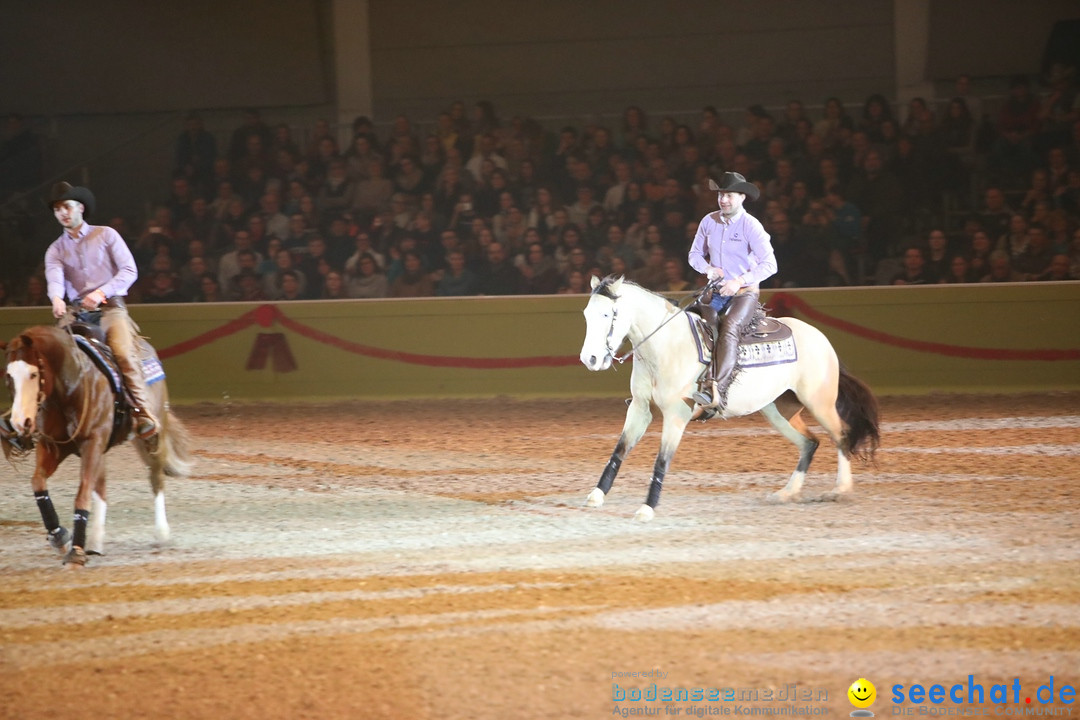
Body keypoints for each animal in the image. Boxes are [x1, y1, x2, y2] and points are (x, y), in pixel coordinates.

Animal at [2, 323, 192, 565]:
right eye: (9, 375)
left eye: (33, 374)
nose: (20, 422)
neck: (72, 387)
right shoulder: (53, 446)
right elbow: (38, 482)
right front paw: (59, 536)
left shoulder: (92, 442)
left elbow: (82, 493)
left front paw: (76, 551)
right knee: (101, 487)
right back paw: (94, 541)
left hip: (152, 436)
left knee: (155, 477)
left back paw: (162, 534)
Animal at [583, 274, 876, 518]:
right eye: (586, 314)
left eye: (607, 314)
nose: (590, 359)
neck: (666, 346)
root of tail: (821, 339)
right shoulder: (640, 408)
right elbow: (619, 450)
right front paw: (596, 495)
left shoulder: (677, 413)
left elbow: (662, 461)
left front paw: (647, 508)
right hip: (779, 410)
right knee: (810, 443)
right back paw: (786, 493)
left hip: (819, 403)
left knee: (842, 436)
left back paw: (840, 490)